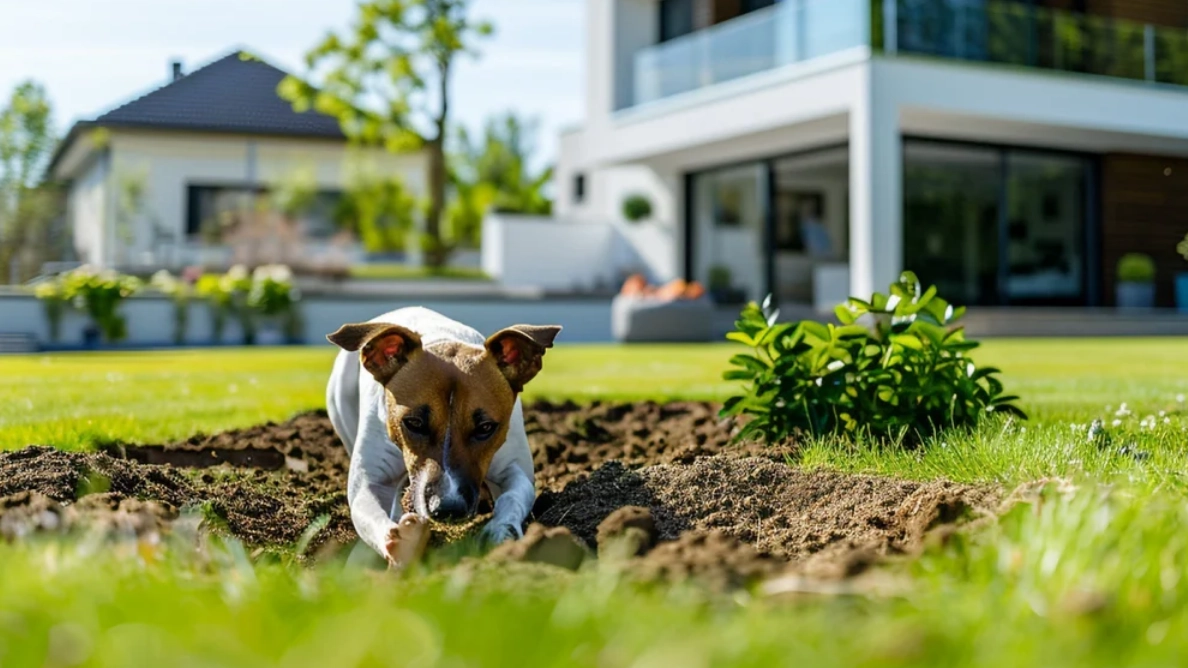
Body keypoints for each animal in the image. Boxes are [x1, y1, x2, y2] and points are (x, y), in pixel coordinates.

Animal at [325, 304, 560, 563]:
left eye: (485, 427)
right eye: (414, 423)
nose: (448, 508)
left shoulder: (515, 469)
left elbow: (513, 496)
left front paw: (501, 530)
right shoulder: (371, 481)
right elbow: (369, 509)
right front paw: (399, 541)